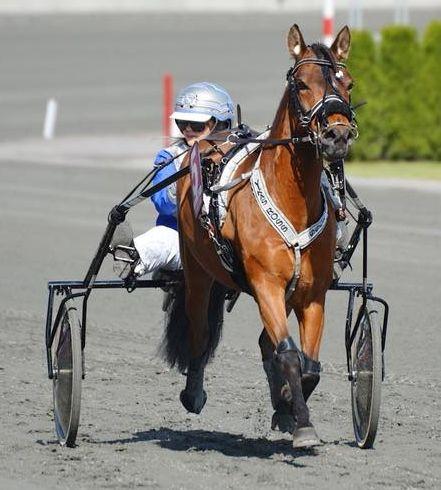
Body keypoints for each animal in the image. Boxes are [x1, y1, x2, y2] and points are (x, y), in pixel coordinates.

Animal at [161, 25, 354, 448]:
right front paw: (302, 425)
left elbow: (308, 364)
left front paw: (288, 408)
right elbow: (289, 355)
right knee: (200, 334)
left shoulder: (311, 293)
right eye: (302, 83)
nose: (337, 134)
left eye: (348, 82)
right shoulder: (266, 283)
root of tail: (207, 144)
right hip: (198, 273)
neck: (292, 200)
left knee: (268, 345)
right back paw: (193, 392)